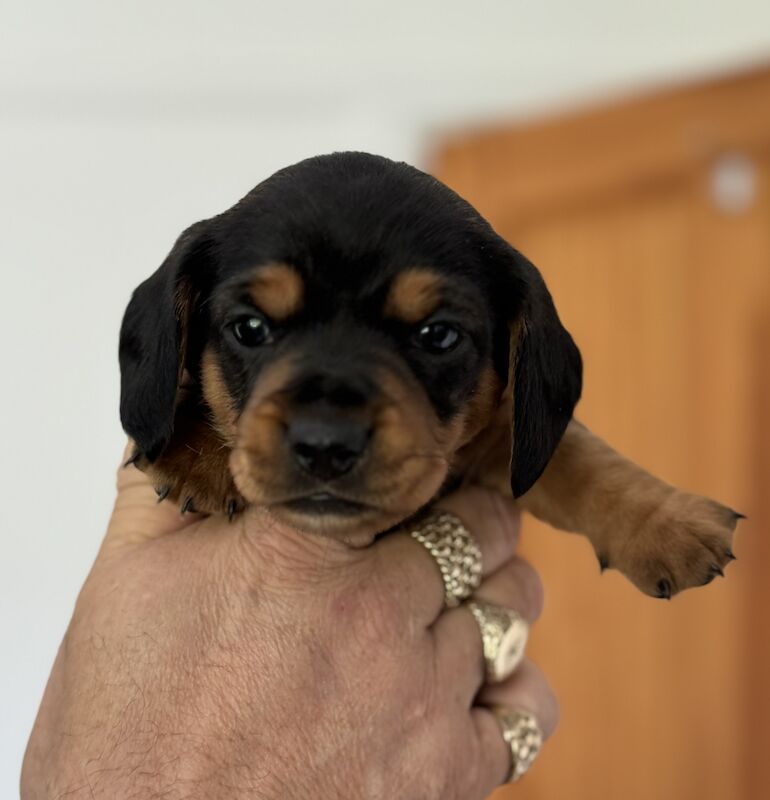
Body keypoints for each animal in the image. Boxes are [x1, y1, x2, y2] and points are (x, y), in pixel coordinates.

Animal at [120, 152, 736, 600]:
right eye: (249, 328)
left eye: (438, 335)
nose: (325, 445)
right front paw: (195, 455)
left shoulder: (501, 438)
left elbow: (581, 457)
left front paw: (669, 522)